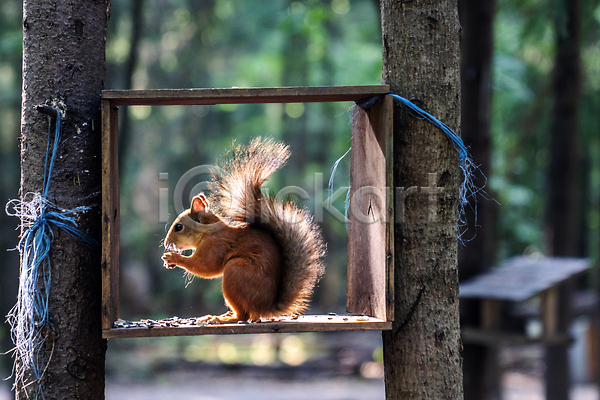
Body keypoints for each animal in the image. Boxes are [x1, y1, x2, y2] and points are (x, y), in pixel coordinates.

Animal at [162, 139, 326, 324]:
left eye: (179, 227)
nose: (167, 243)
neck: (208, 232)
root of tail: (265, 308)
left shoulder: (215, 246)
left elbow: (205, 266)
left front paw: (173, 258)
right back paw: (224, 315)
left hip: (235, 272)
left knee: (243, 315)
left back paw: (220, 318)